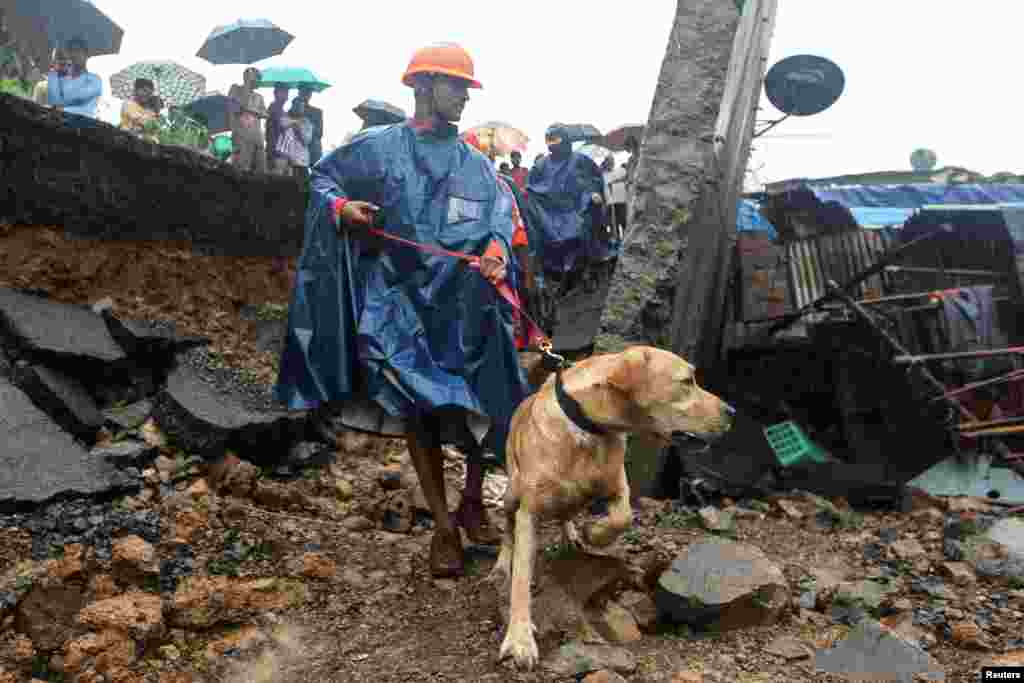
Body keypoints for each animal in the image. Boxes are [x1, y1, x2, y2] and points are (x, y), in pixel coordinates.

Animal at [491, 348, 733, 667]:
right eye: (687, 381)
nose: (732, 411)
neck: (588, 428)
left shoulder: (619, 486)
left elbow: (623, 517)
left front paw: (595, 533)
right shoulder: (529, 514)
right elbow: (521, 579)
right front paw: (520, 639)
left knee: (567, 513)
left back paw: (572, 536)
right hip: (512, 492)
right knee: (508, 527)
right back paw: (502, 564)